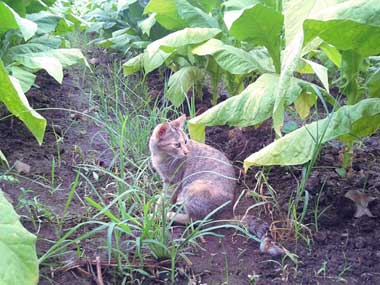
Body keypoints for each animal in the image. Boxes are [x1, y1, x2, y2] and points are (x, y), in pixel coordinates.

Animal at [150, 114, 284, 256]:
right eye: (177, 145)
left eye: (185, 142)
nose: (186, 152)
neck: (160, 156)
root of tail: (226, 214)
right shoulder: (167, 181)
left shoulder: (172, 182)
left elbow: (164, 200)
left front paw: (157, 213)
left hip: (193, 188)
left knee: (195, 220)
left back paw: (170, 215)